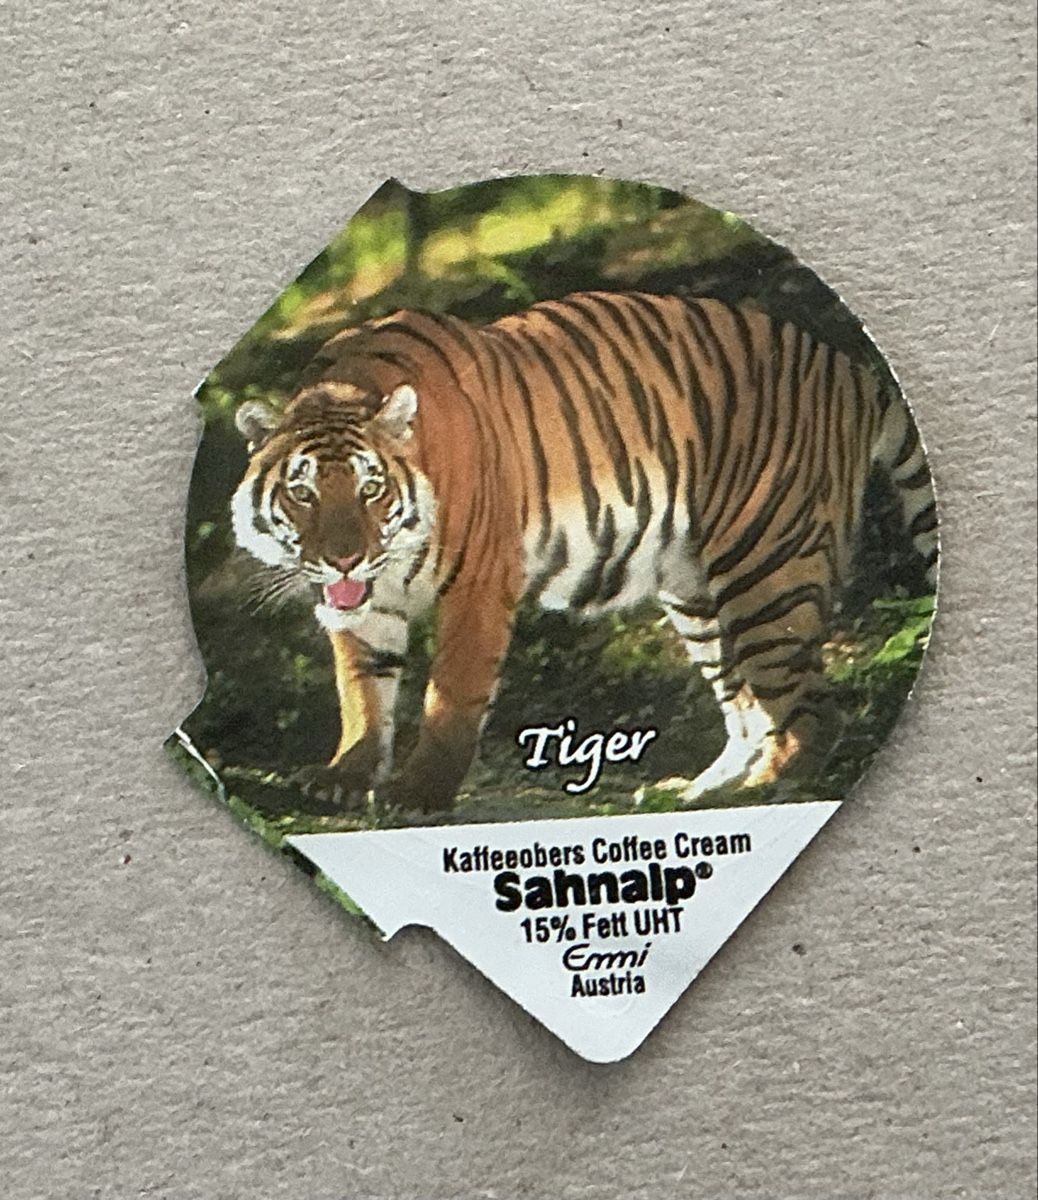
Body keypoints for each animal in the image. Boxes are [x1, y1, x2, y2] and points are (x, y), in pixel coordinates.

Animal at [231, 290, 937, 812]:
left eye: (371, 489)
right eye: (303, 494)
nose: (344, 560)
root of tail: (849, 367)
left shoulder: (480, 581)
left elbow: (451, 694)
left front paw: (420, 792)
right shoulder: (366, 605)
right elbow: (362, 690)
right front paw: (346, 776)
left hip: (768, 569)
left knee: (810, 708)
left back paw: (767, 789)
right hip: (698, 591)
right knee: (745, 704)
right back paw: (697, 794)